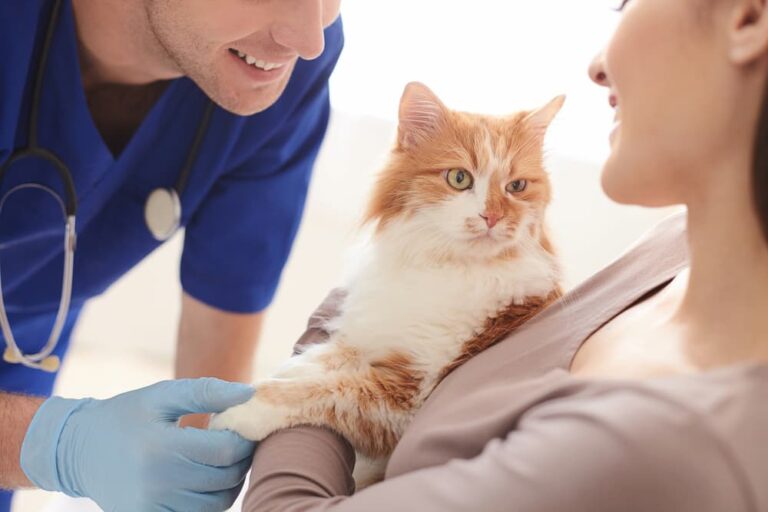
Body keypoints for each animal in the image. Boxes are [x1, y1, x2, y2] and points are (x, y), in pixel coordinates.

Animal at [210, 82, 564, 486]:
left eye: (516, 186)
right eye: (459, 178)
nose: (491, 217)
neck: (443, 267)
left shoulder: (407, 399)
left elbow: (322, 391)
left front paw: (243, 406)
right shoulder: (376, 332)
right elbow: (333, 355)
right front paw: (293, 367)